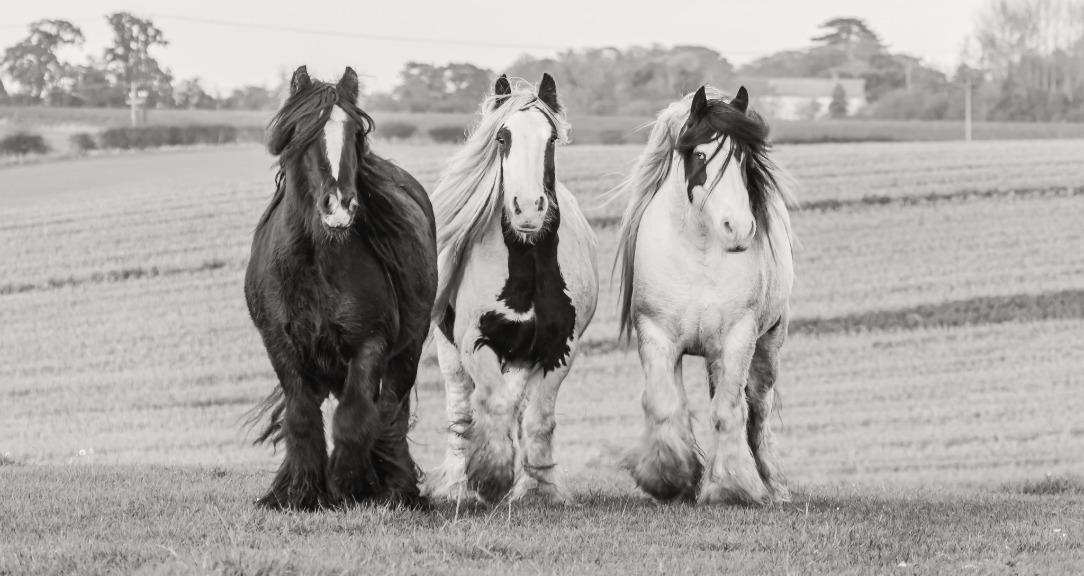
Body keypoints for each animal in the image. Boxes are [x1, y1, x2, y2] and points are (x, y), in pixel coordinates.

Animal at [244, 66, 437, 510]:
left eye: (356, 133)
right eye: (304, 131)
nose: (339, 207)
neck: (316, 262)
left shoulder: (370, 343)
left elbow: (353, 417)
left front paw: (347, 484)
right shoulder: (280, 345)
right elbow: (301, 417)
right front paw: (300, 493)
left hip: (407, 353)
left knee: (391, 409)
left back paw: (397, 487)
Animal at [427, 74, 599, 505]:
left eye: (550, 138)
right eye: (502, 137)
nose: (528, 208)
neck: (529, 264)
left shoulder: (559, 348)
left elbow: (537, 418)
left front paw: (539, 488)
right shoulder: (475, 341)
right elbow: (493, 401)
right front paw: (490, 475)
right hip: (450, 352)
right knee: (460, 410)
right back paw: (457, 485)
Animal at [611, 85, 798, 505]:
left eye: (743, 156)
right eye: (699, 154)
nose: (738, 229)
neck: (696, 252)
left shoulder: (738, 339)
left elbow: (729, 410)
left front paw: (731, 486)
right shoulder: (657, 336)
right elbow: (666, 406)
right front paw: (671, 478)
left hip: (768, 344)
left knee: (758, 409)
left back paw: (773, 485)